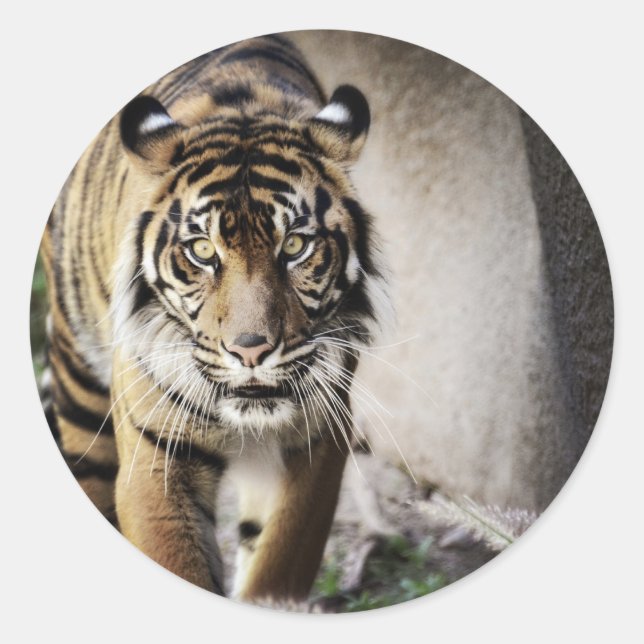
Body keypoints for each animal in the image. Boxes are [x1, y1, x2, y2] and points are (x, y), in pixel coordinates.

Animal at [38, 33, 390, 602]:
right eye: (203, 251)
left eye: (295, 245)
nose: (251, 350)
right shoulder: (155, 456)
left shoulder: (315, 444)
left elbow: (276, 567)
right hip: (80, 395)